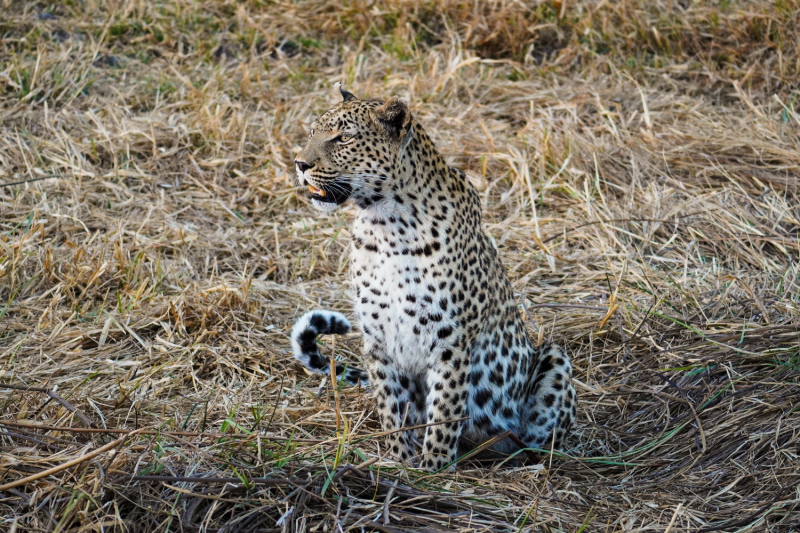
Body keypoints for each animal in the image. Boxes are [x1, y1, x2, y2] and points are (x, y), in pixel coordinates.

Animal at [288, 84, 576, 470]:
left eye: (344, 137)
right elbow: (392, 407)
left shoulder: (449, 341)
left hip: (554, 360)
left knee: (536, 439)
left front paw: (433, 468)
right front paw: (399, 461)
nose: (300, 164)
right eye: (312, 132)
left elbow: (444, 410)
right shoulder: (378, 341)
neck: (385, 224)